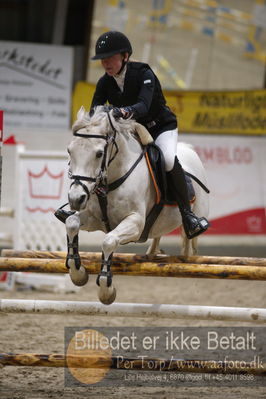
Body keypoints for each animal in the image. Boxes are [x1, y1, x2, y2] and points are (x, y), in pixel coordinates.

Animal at [65, 106, 210, 306]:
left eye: (99, 153)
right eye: (70, 151)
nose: (76, 198)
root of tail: (189, 149)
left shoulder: (135, 222)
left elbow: (108, 241)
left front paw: (106, 290)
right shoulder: (94, 219)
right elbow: (71, 223)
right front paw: (77, 274)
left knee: (189, 243)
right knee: (158, 232)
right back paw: (151, 252)